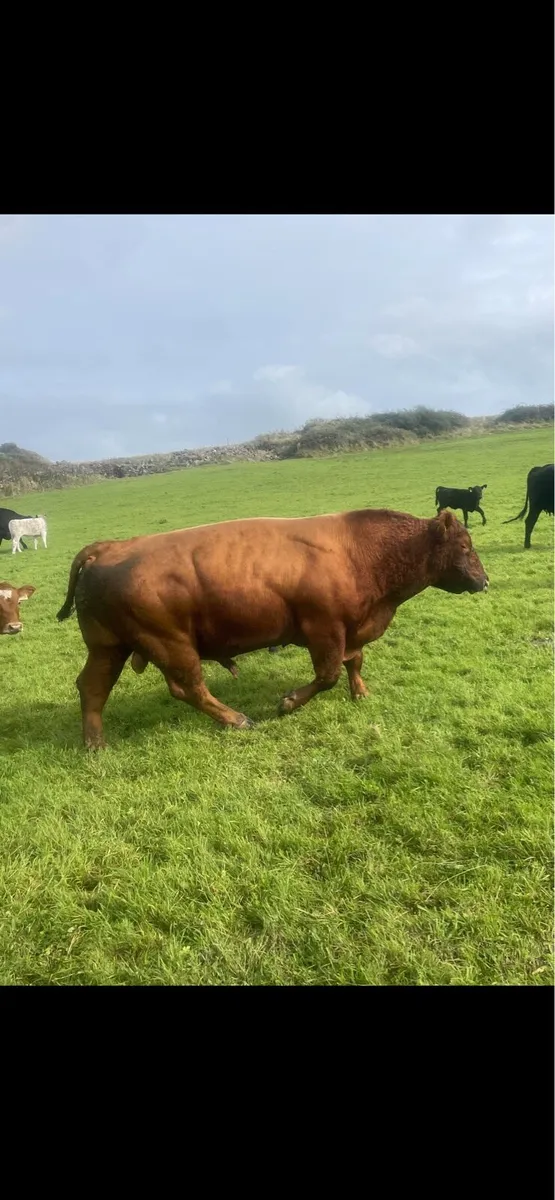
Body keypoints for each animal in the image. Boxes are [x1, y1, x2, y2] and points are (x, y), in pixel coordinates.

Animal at [56, 508, 489, 750]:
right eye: (465, 547)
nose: (484, 581)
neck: (360, 551)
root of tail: (108, 547)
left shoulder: (350, 628)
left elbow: (354, 662)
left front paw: (361, 693)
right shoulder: (324, 630)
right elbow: (328, 674)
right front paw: (288, 703)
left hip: (109, 647)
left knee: (92, 687)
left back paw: (95, 744)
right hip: (170, 645)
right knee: (188, 687)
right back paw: (237, 720)